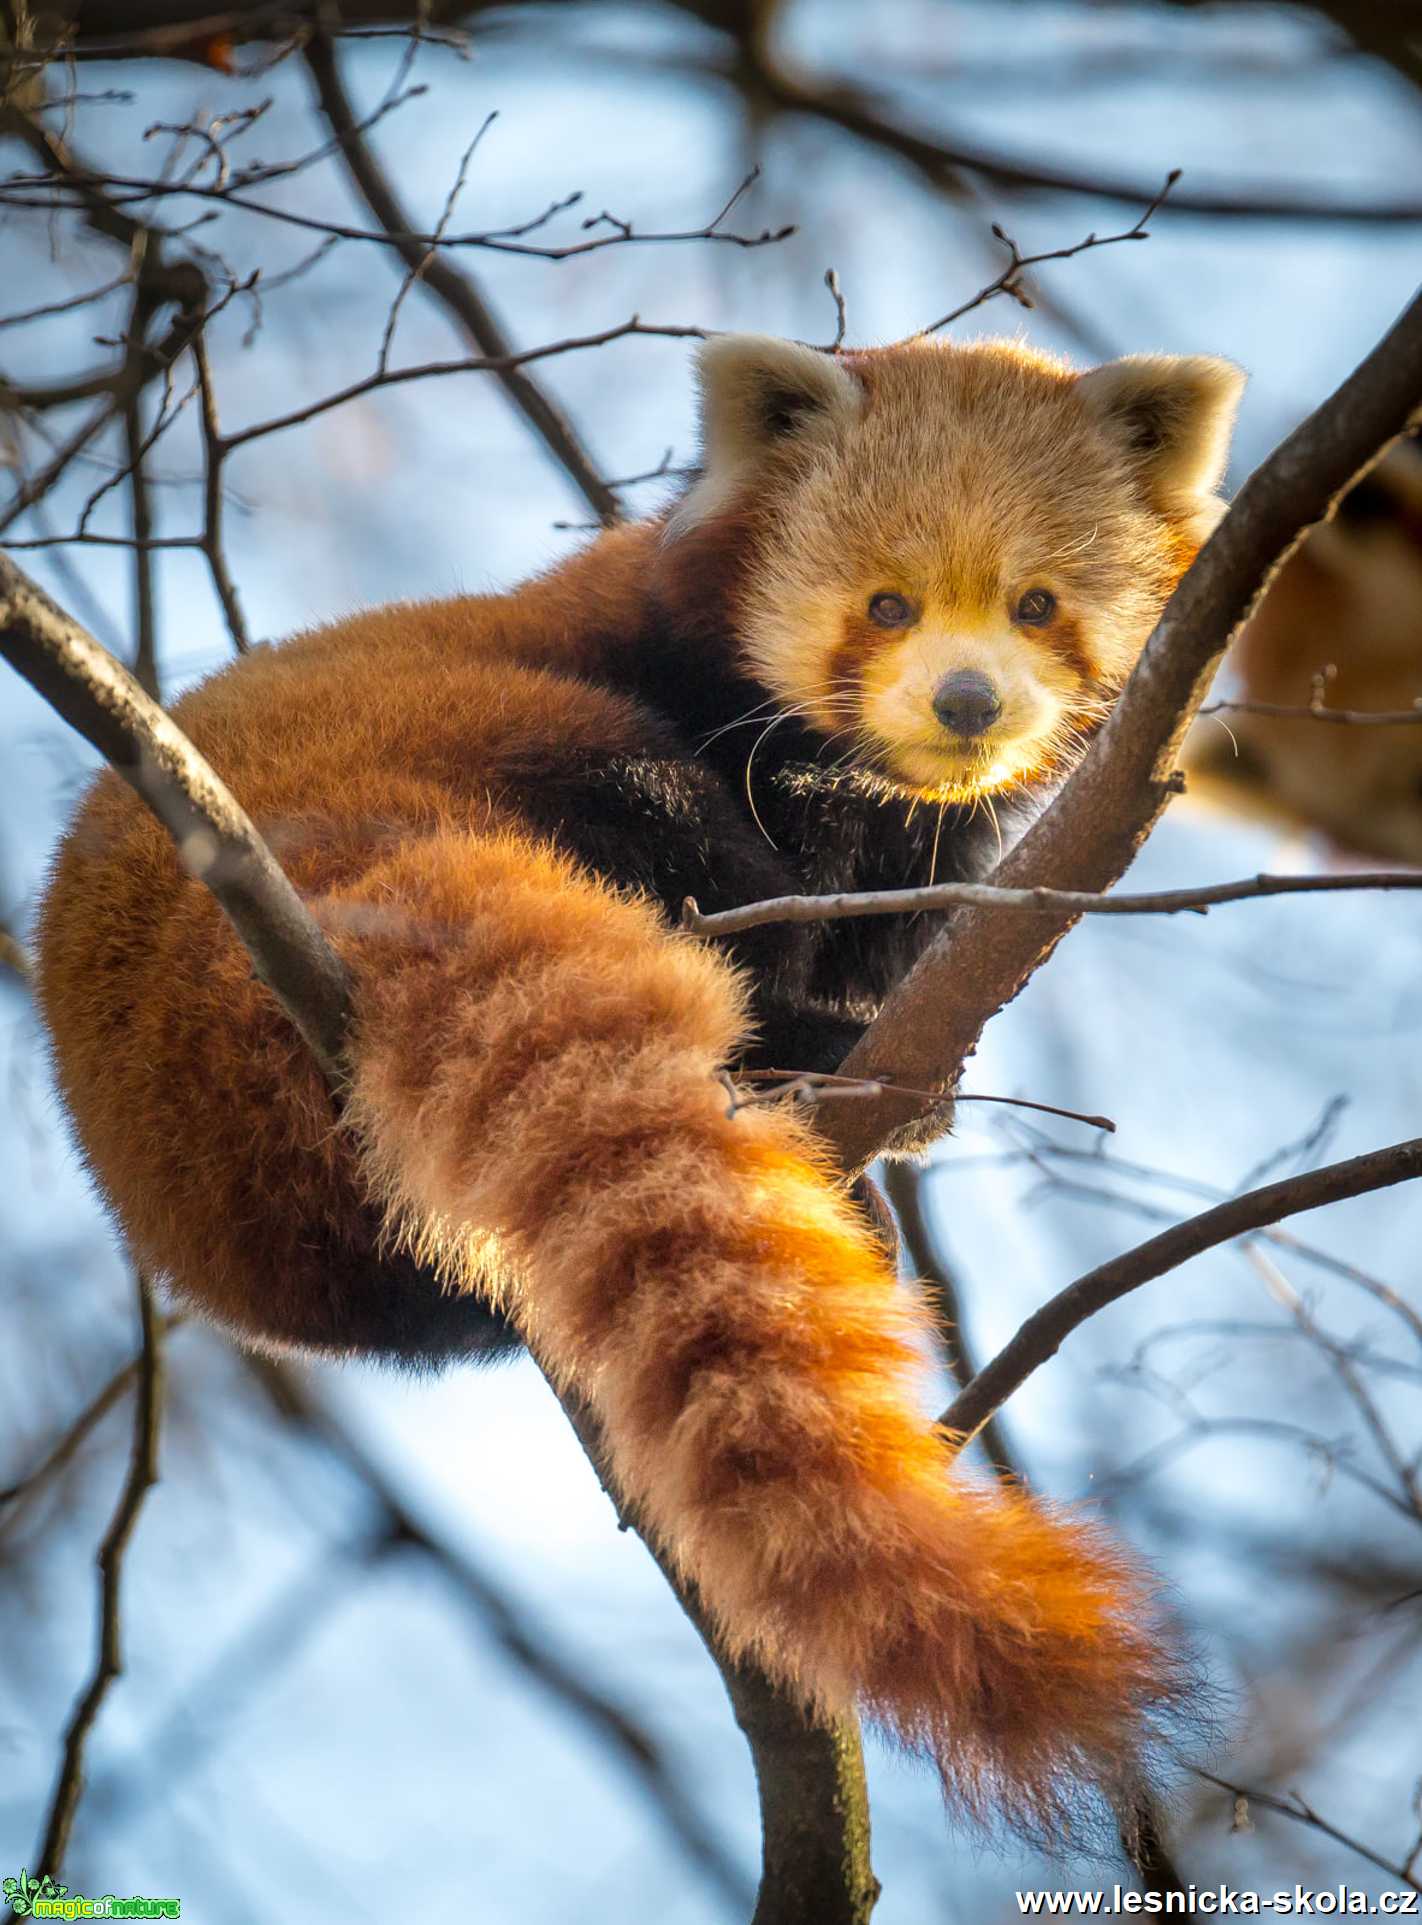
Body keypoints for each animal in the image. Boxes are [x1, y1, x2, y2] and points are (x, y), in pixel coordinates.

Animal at [36, 331, 1246, 1832]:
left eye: (1036, 605)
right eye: (885, 605)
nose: (966, 702)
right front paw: (836, 1024)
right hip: (460, 730)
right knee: (642, 800)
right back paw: (797, 1043)